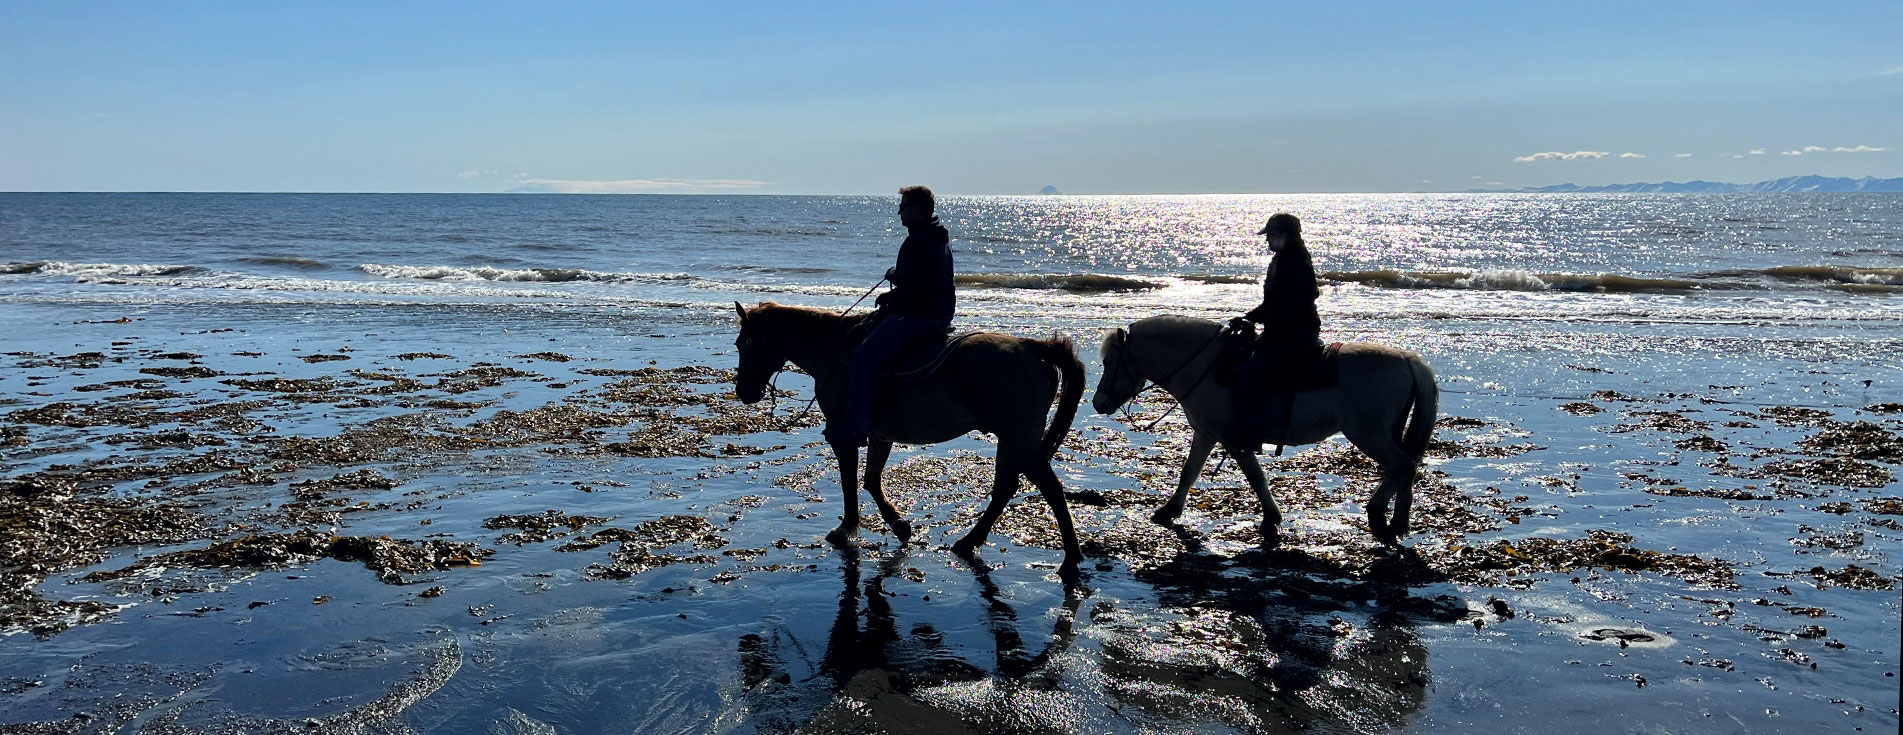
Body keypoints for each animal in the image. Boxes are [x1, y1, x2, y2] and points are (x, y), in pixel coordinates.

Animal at [726, 302, 1088, 575]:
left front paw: (848, 529)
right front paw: (899, 525)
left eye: (746, 343)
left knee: (1051, 489)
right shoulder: (880, 435)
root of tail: (1032, 347)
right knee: (1005, 489)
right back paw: (969, 542)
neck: (834, 351)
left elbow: (851, 483)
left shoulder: (844, 436)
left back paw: (1070, 558)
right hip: (1011, 439)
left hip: (1019, 438)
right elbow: (871, 480)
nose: (744, 391)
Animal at [1096, 316, 1431, 544]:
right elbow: (1189, 472)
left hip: (1370, 435)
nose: (1099, 403)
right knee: (1406, 467)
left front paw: (1271, 518)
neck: (1207, 368)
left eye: (1110, 362)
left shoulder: (1233, 440)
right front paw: (1169, 510)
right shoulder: (1206, 433)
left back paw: (1380, 512)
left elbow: (1255, 477)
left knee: (1403, 466)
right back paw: (1398, 521)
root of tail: (1408, 360)